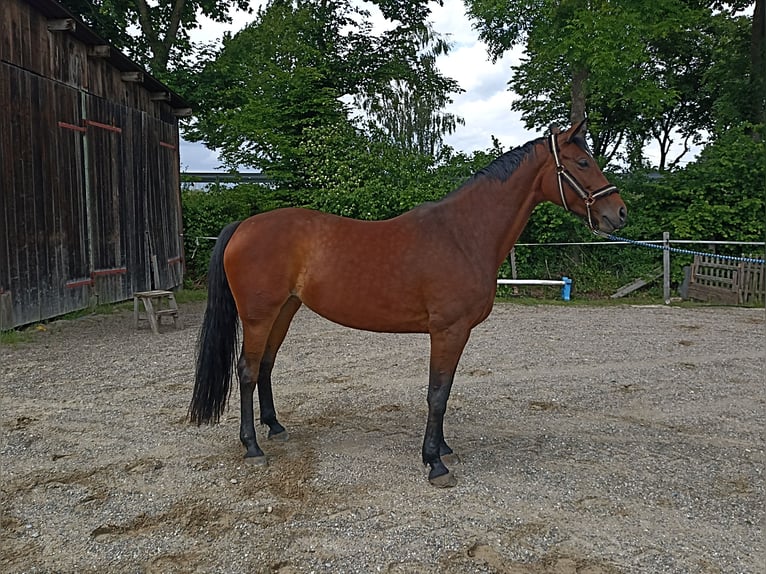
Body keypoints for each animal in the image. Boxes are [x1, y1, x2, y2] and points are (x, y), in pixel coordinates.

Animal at [189, 120, 628, 486]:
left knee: (266, 365)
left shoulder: (453, 334)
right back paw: (252, 446)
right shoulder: (448, 331)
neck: (462, 235)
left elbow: (444, 391)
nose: (619, 213)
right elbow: (438, 392)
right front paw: (435, 463)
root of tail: (244, 226)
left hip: (284, 311)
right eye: (583, 162)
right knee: (247, 371)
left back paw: (275, 428)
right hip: (259, 316)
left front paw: (443, 448)